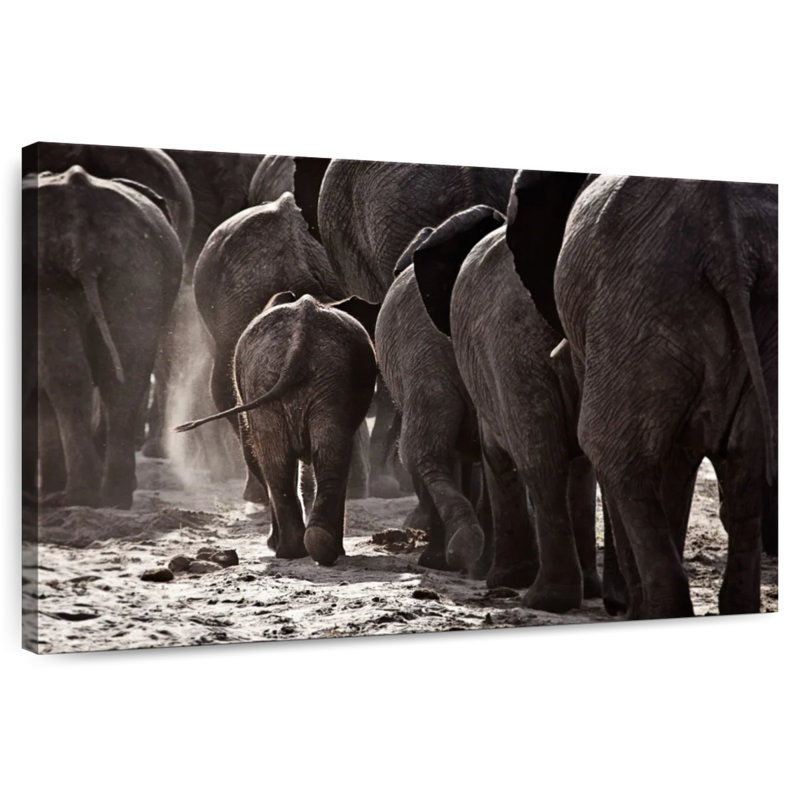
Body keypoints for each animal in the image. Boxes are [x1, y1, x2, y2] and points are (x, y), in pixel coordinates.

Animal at [176, 293, 377, 566]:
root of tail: (300, 340)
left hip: (302, 379)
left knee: (283, 462)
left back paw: (298, 549)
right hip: (300, 379)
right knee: (307, 458)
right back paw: (309, 548)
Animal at [413, 204, 601, 612]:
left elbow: (495, 456)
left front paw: (502, 579)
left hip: (512, 355)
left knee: (539, 460)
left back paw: (544, 598)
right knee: (576, 463)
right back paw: (580, 591)